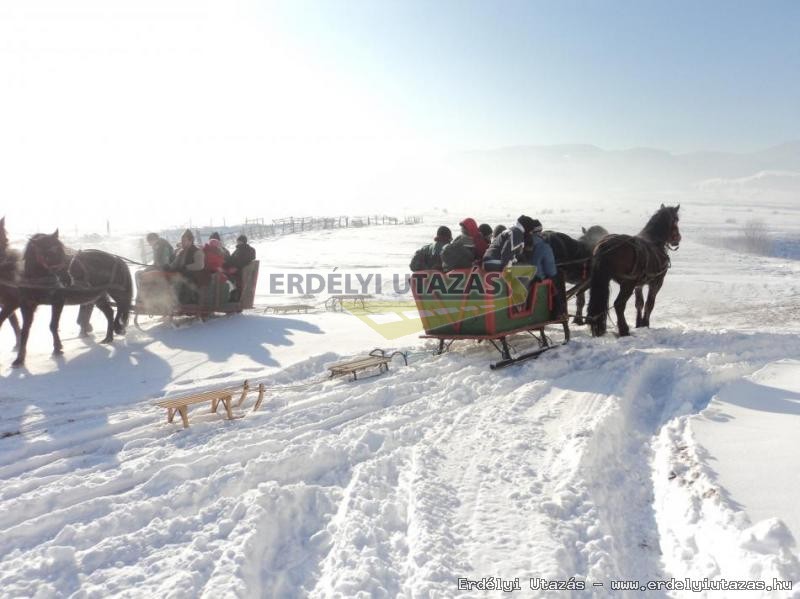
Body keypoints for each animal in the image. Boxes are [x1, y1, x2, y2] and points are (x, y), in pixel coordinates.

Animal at [0, 230, 133, 368]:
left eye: (62, 251)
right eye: (48, 254)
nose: (67, 279)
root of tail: (116, 258)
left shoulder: (58, 301)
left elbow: (53, 325)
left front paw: (57, 348)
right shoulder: (26, 305)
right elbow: (24, 331)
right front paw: (19, 359)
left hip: (117, 291)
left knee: (122, 306)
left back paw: (117, 328)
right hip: (98, 296)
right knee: (110, 312)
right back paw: (108, 337)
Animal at [584, 205, 680, 338]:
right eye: (676, 220)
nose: (678, 238)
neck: (655, 242)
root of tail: (606, 245)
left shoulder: (639, 285)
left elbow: (639, 303)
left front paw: (639, 323)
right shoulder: (656, 282)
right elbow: (650, 304)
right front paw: (645, 324)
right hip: (627, 284)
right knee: (619, 304)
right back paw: (624, 330)